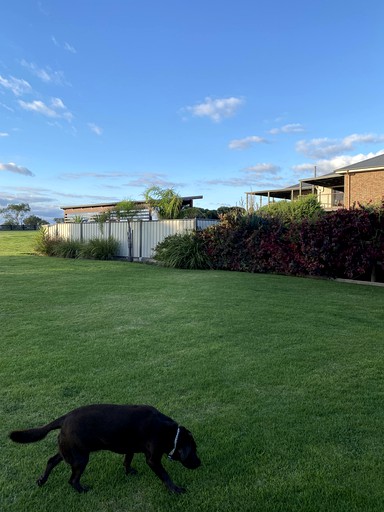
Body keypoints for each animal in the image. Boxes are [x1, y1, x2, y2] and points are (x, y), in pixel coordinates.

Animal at [9, 402, 201, 494]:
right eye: (193, 451)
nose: (199, 463)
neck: (170, 433)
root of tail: (64, 418)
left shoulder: (130, 447)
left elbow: (127, 460)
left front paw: (128, 471)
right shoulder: (153, 459)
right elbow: (165, 476)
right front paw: (175, 490)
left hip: (70, 451)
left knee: (51, 460)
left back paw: (42, 480)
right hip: (80, 458)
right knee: (72, 480)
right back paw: (82, 490)